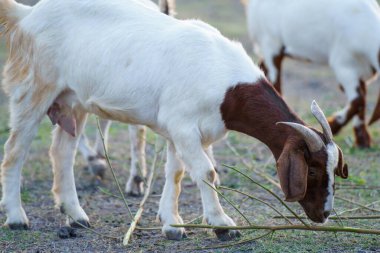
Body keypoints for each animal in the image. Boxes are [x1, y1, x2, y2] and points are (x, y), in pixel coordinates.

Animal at [0, 0, 348, 242]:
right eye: (312, 169)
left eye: (334, 170)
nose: (324, 215)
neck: (225, 84)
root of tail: (27, 16)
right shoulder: (183, 126)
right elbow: (206, 172)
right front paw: (222, 225)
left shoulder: (178, 130)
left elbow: (176, 173)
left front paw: (172, 223)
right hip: (34, 89)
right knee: (15, 152)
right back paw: (17, 217)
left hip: (73, 101)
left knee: (62, 152)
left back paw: (76, 215)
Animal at [245, 0, 380, 148]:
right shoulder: (344, 65)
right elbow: (358, 100)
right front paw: (334, 125)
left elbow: (362, 98)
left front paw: (362, 140)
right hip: (271, 42)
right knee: (274, 80)